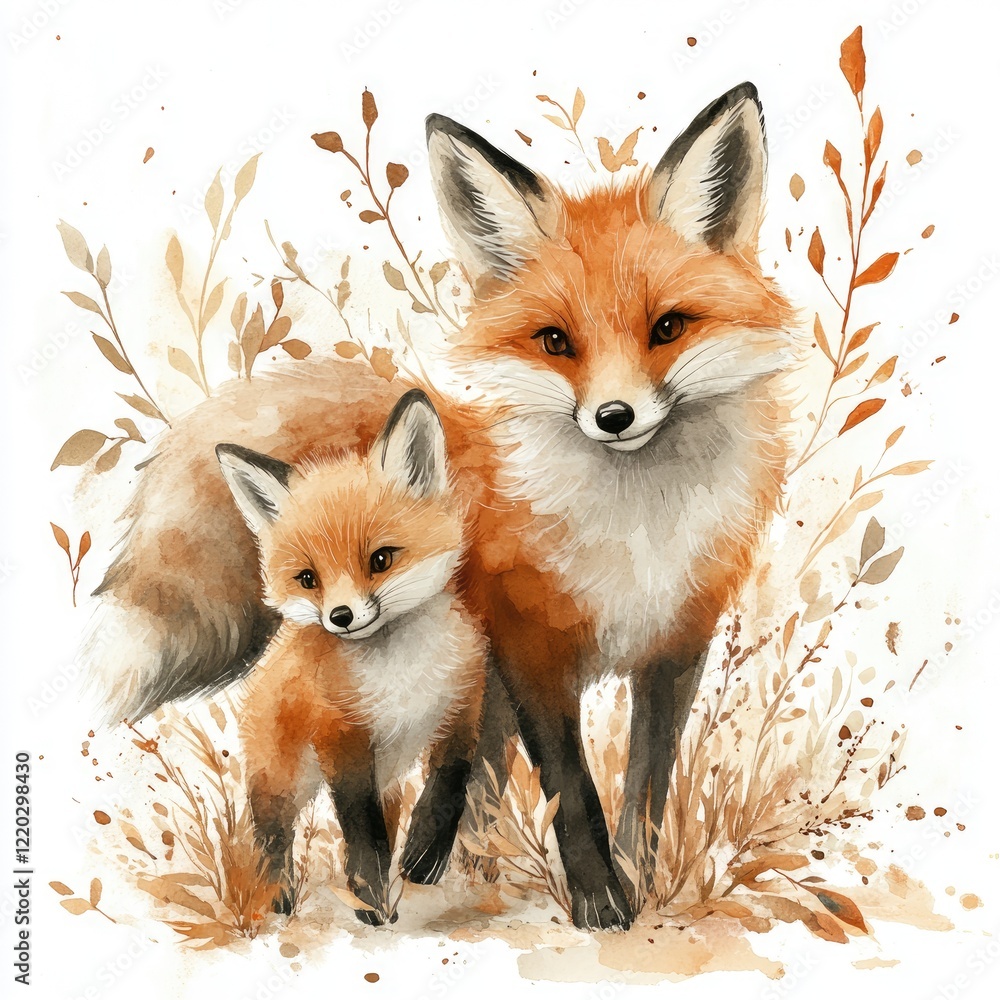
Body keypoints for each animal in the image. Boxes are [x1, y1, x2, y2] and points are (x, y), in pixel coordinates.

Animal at [216, 390, 487, 924]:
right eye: (308, 579)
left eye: (380, 559)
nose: (340, 616)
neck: (402, 676)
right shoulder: (341, 735)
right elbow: (361, 829)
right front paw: (371, 898)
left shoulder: (464, 700)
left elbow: (450, 780)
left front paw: (425, 856)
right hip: (282, 778)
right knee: (272, 838)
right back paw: (279, 898)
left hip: (387, 778)